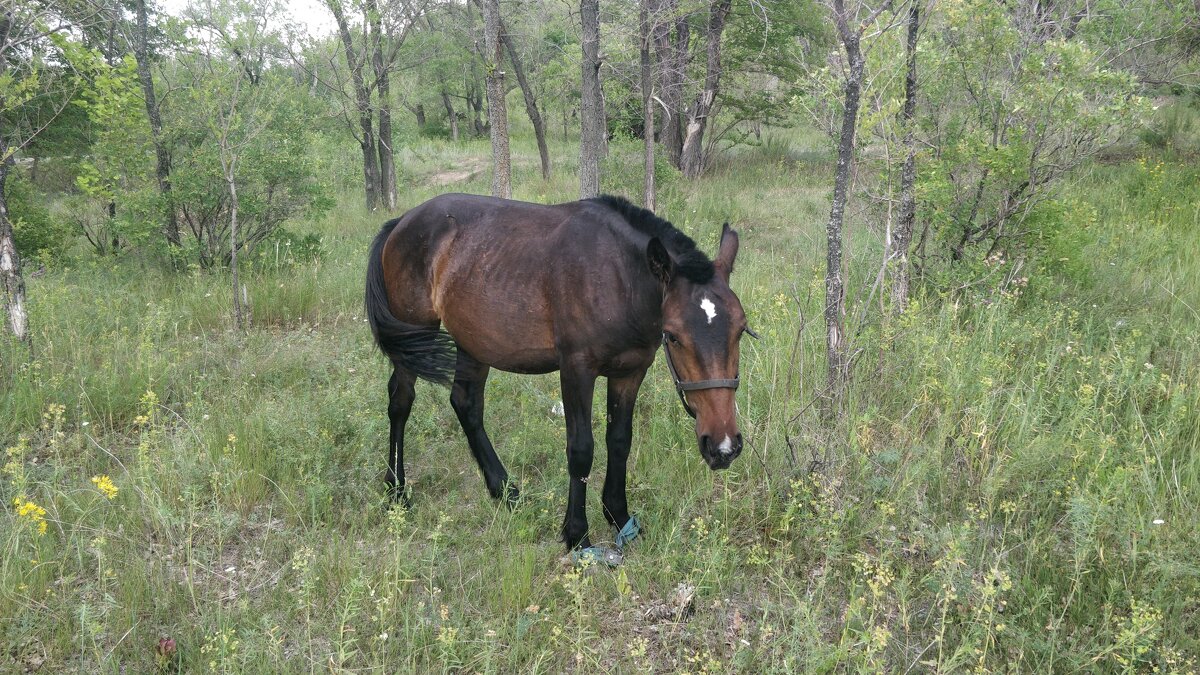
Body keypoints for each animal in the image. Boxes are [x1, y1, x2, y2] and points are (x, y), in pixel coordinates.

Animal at [362, 192, 748, 550]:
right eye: (674, 336)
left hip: (473, 341)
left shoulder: (630, 372)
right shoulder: (576, 370)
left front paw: (619, 516)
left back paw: (505, 491)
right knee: (401, 401)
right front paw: (577, 534)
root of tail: (401, 222)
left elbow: (619, 441)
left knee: (465, 404)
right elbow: (581, 450)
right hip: (413, 334)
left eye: (741, 329)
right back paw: (396, 491)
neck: (617, 278)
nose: (723, 446)